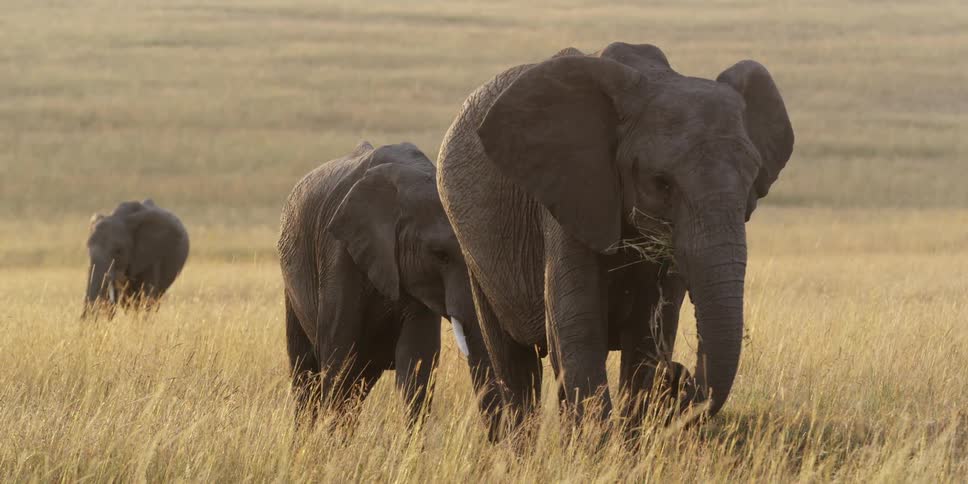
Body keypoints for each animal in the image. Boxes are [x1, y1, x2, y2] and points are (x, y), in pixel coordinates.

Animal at [277, 141, 500, 430]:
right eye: (440, 255)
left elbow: (416, 361)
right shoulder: (338, 253)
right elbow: (339, 355)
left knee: (358, 385)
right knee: (306, 375)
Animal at [436, 42, 794, 433]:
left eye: (753, 180)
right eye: (661, 183)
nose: (677, 378)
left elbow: (648, 335)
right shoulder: (572, 191)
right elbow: (578, 328)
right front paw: (595, 446)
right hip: (472, 250)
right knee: (512, 359)